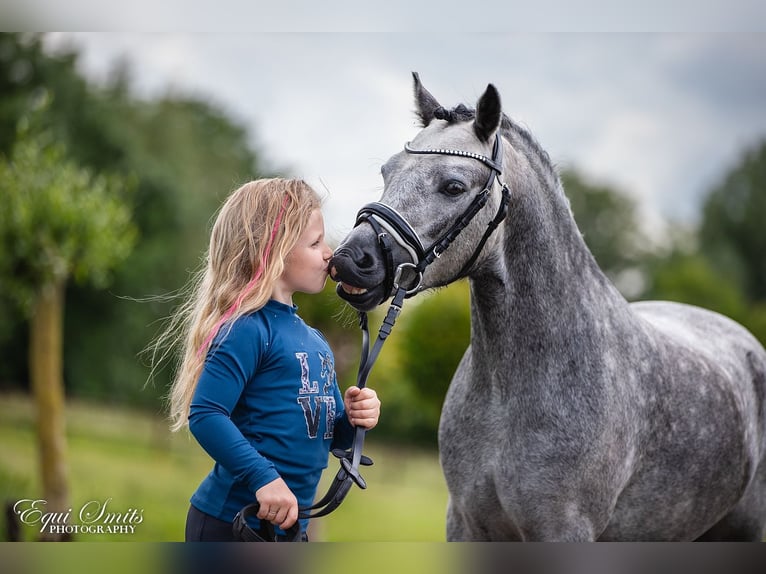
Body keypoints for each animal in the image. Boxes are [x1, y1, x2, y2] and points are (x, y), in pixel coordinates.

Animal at [332, 74, 766, 544]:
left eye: (453, 186)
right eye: (387, 171)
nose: (350, 259)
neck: (509, 393)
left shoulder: (563, 531)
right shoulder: (465, 524)